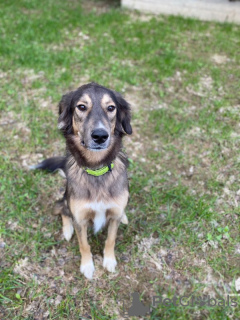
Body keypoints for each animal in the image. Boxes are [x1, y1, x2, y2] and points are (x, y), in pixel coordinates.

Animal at [34, 83, 131, 280]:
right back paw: (67, 230)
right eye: (81, 106)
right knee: (61, 209)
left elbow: (111, 239)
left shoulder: (114, 213)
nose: (100, 136)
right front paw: (87, 266)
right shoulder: (80, 217)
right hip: (65, 199)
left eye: (111, 108)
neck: (96, 169)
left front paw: (109, 261)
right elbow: (84, 244)